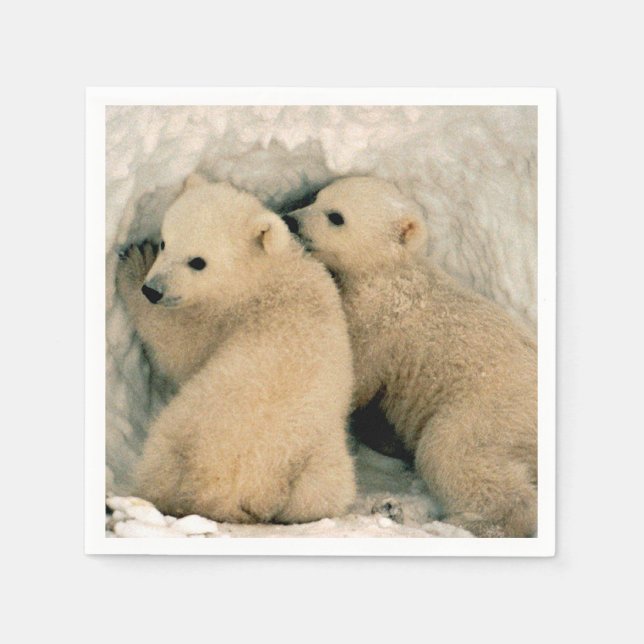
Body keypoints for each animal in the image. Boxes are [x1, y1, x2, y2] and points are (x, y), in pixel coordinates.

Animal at [115, 176, 356, 524]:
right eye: (165, 242)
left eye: (198, 262)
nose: (153, 290)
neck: (265, 275)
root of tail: (238, 490)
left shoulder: (221, 317)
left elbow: (178, 347)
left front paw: (133, 263)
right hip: (318, 463)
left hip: (188, 429)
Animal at [283, 176, 537, 537]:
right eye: (316, 198)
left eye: (336, 216)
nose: (291, 220)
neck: (389, 272)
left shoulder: (379, 322)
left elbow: (356, 375)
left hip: (489, 412)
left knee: (451, 452)